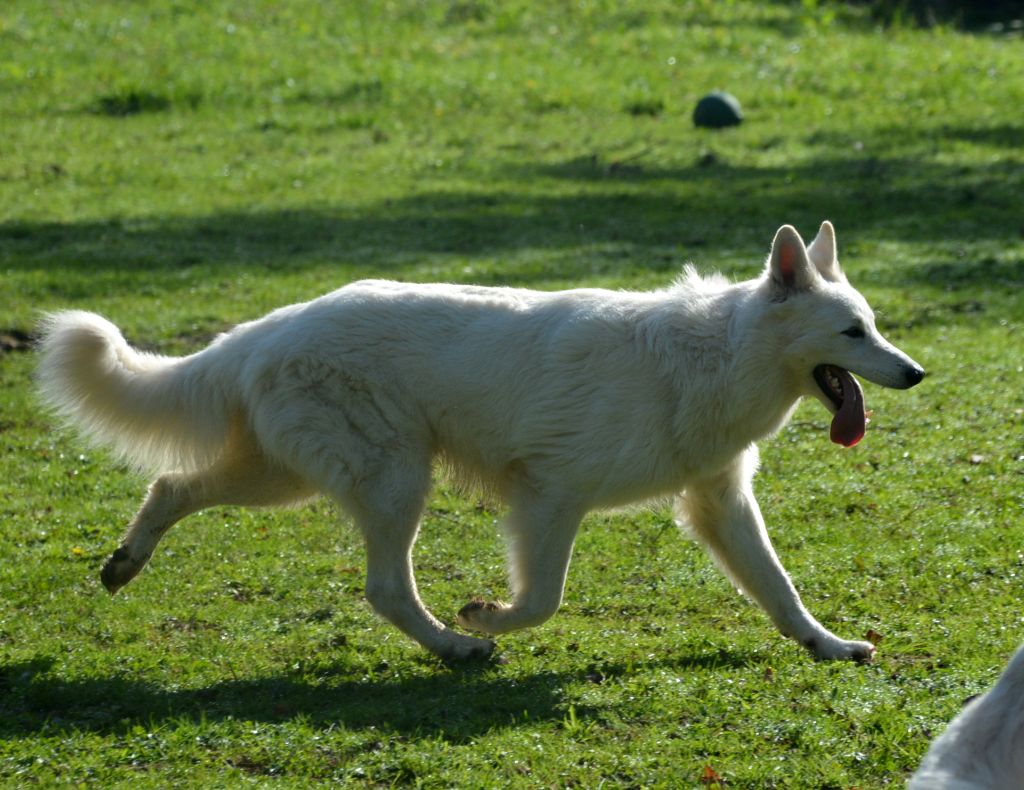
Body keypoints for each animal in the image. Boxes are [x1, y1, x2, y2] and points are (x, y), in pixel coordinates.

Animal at [36, 221, 925, 659]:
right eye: (852, 332)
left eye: (874, 325)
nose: (915, 373)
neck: (717, 352)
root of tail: (266, 327)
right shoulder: (549, 498)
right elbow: (543, 600)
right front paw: (487, 619)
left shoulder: (720, 504)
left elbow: (781, 591)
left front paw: (828, 647)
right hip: (392, 481)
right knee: (385, 590)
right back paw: (456, 648)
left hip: (287, 476)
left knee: (171, 485)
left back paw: (124, 563)